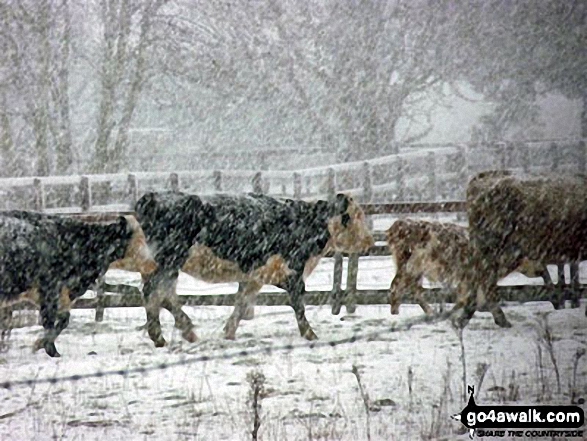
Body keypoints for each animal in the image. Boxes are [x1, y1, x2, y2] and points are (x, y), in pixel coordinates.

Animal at [0, 208, 152, 356]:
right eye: (139, 239)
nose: (152, 264)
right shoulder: (49, 290)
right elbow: (50, 321)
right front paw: (51, 351)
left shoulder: (50, 294)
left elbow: (64, 319)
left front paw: (40, 344)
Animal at [134, 191, 374, 346]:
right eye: (355, 216)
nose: (369, 242)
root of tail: (152, 197)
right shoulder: (293, 272)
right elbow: (298, 305)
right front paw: (310, 334)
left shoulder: (255, 277)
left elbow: (241, 303)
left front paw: (228, 333)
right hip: (168, 262)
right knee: (154, 293)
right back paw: (162, 335)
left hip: (162, 265)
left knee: (162, 296)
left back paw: (183, 330)